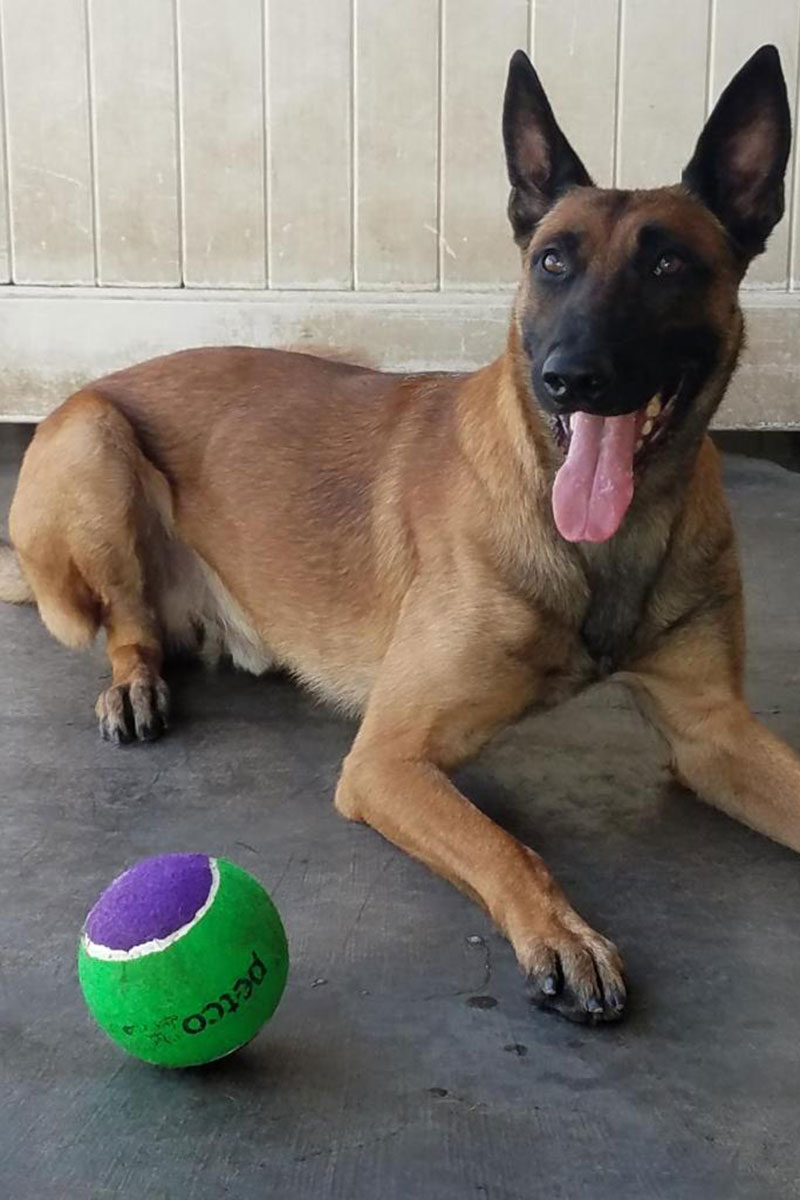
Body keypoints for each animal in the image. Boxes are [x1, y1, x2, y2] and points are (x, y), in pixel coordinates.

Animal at [1, 44, 800, 1022]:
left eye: (669, 266)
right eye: (552, 262)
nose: (569, 376)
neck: (608, 543)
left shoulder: (713, 735)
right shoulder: (388, 761)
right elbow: (507, 846)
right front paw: (564, 932)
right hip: (95, 443)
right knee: (127, 623)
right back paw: (133, 682)